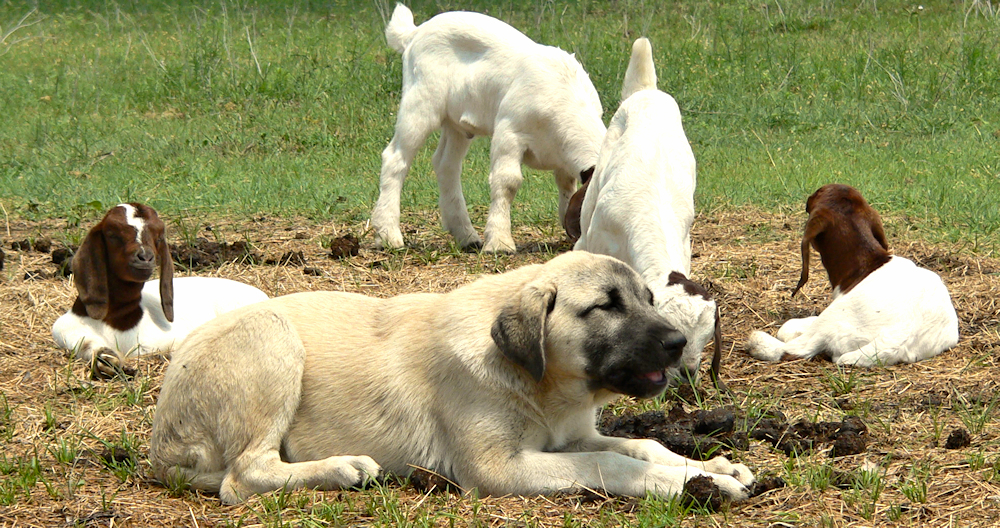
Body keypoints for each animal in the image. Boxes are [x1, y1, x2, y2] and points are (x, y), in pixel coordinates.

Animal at [150, 252, 752, 504]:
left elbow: (641, 445)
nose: (677, 344)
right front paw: (699, 486)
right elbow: (611, 464)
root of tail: (163, 450)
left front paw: (712, 467)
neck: (538, 384)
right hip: (272, 338)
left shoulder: (568, 436)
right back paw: (344, 469)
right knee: (242, 477)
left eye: (649, 299)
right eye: (605, 306)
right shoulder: (498, 468)